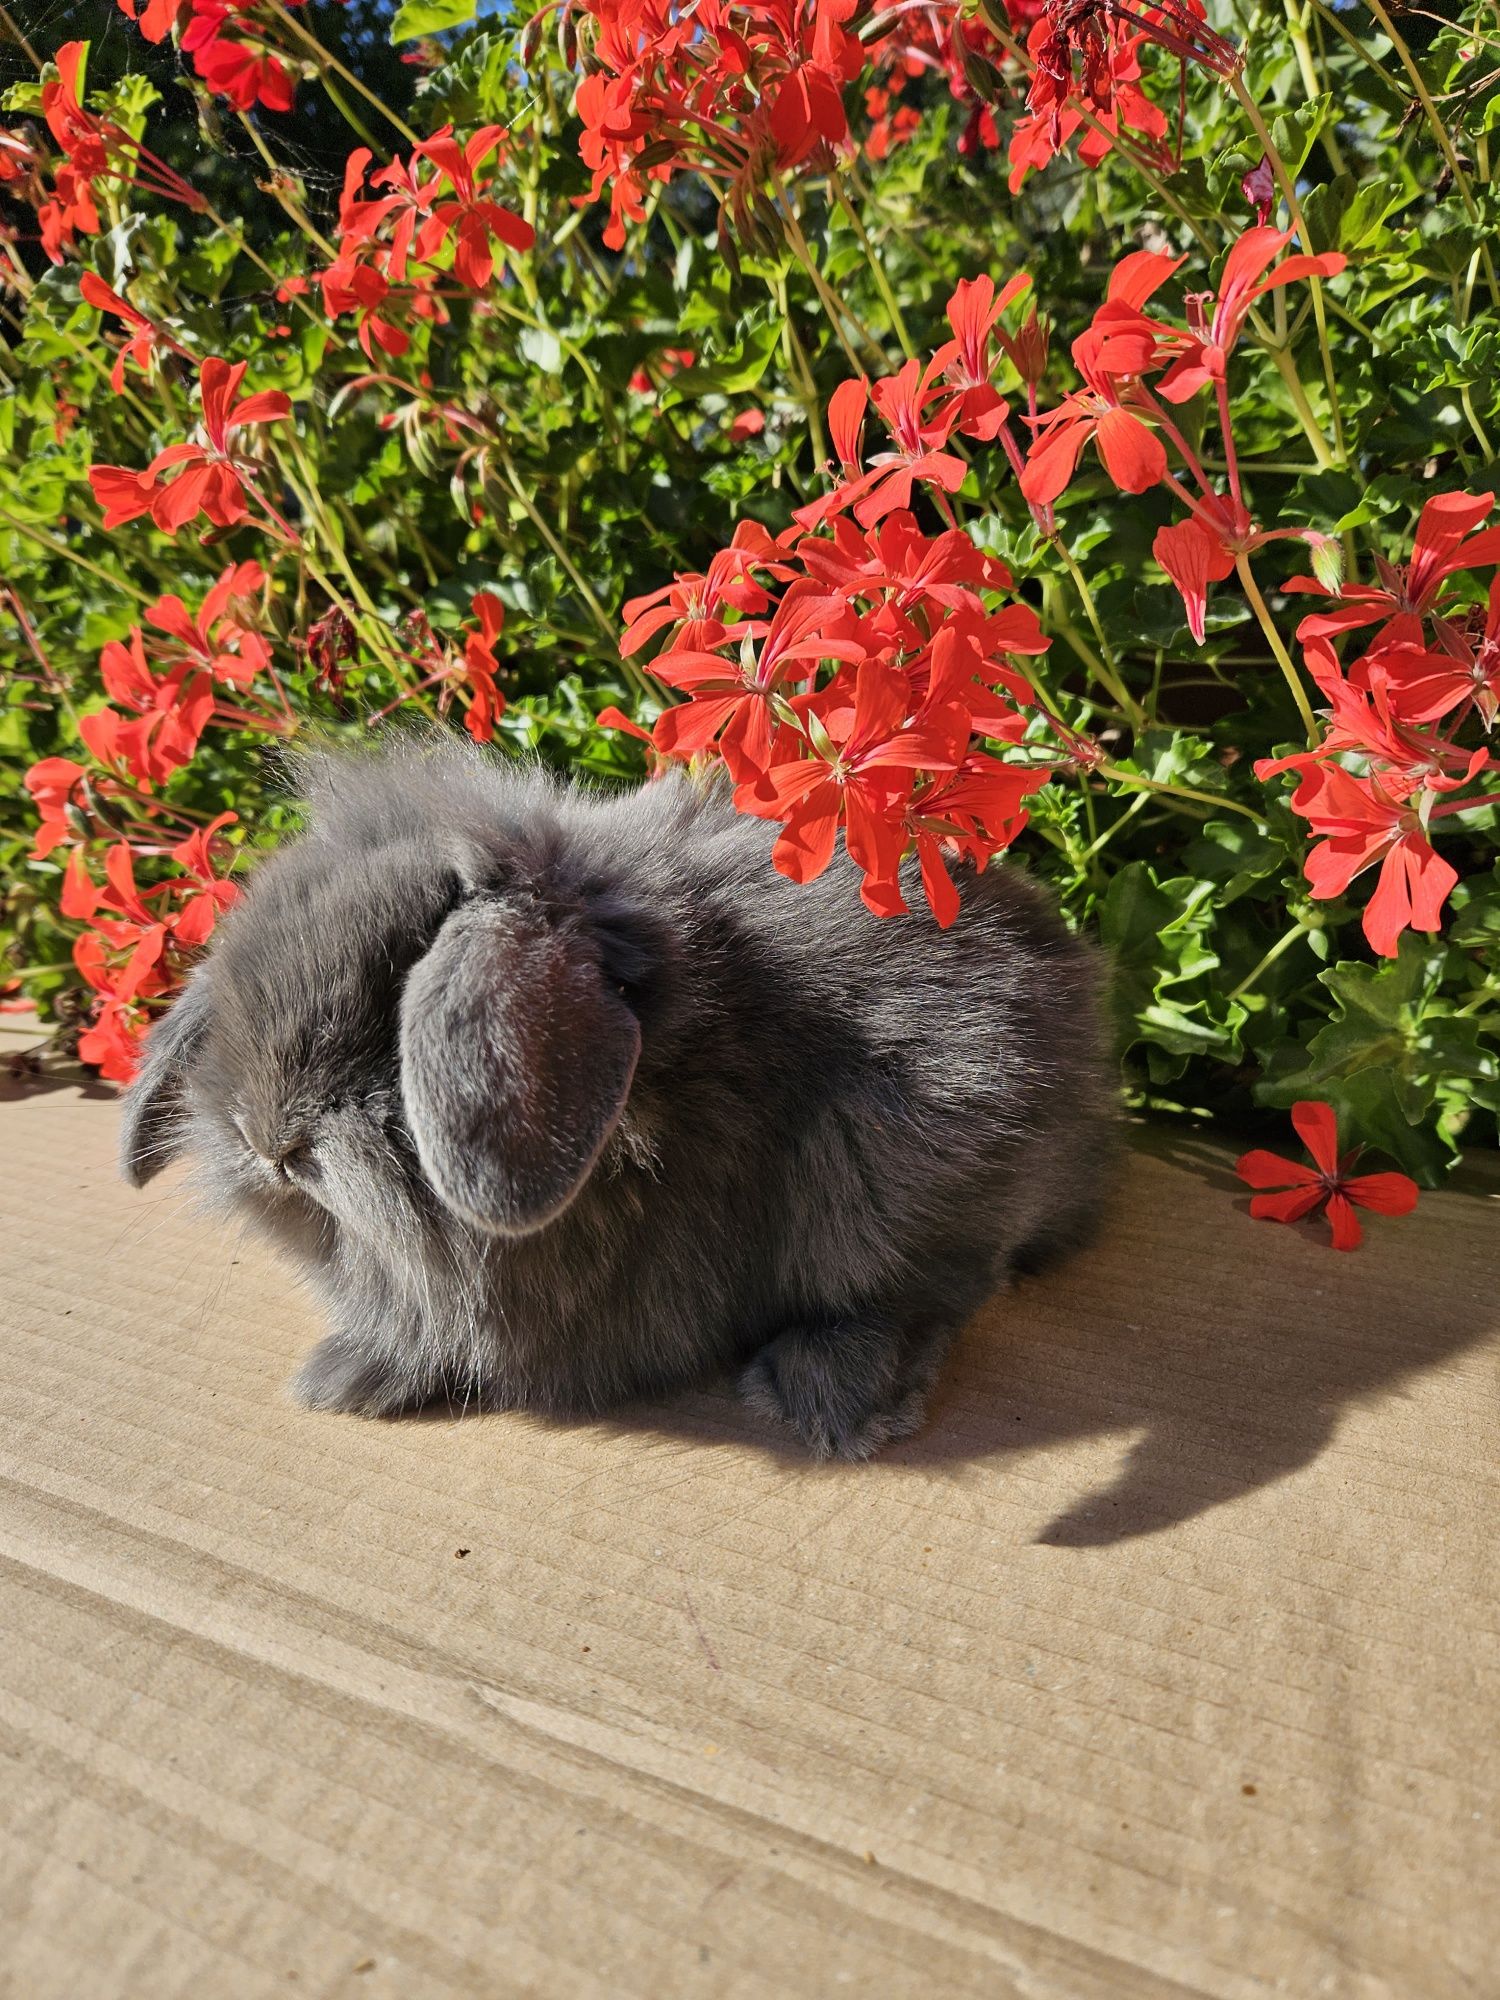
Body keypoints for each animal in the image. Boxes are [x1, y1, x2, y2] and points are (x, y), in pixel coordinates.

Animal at [120, 744, 1120, 1464]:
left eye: (390, 994)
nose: (267, 1140)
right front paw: (347, 1379)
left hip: (900, 1180)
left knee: (924, 1294)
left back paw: (823, 1399)